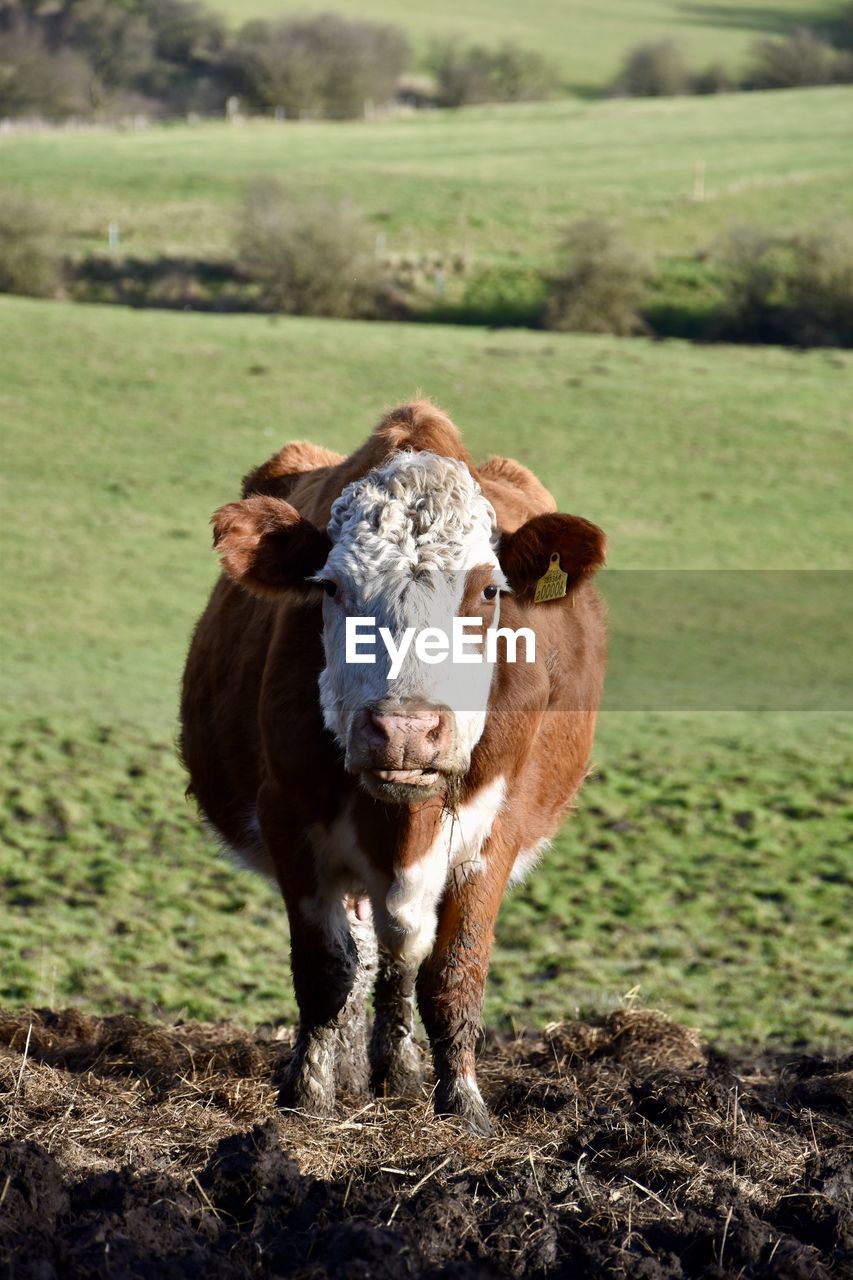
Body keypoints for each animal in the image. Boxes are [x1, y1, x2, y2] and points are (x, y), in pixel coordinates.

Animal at [179, 396, 604, 1131]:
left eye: (487, 592)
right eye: (331, 588)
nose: (404, 730)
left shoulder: (495, 829)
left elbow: (451, 972)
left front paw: (461, 1103)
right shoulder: (289, 815)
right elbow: (327, 969)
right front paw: (309, 1094)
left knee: (401, 953)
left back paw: (398, 1071)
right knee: (365, 951)